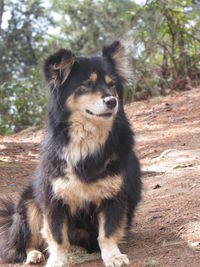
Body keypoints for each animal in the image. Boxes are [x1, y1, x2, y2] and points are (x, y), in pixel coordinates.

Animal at [0, 40, 141, 267]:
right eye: (87, 84)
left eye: (111, 84)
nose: (112, 101)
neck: (87, 140)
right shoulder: (53, 196)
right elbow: (57, 235)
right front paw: (56, 260)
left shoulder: (115, 193)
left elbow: (107, 232)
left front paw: (113, 256)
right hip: (29, 203)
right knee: (27, 241)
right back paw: (34, 255)